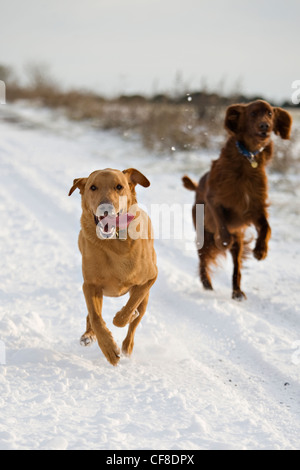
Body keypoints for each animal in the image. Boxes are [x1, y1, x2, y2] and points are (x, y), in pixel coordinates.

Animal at [183, 100, 292, 302]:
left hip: (238, 243)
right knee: (203, 259)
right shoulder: (214, 199)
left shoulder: (254, 208)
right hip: (204, 235)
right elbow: (221, 222)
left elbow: (266, 227)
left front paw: (261, 250)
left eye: (270, 113)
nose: (265, 126)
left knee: (237, 269)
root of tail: (196, 186)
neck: (248, 158)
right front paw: (224, 240)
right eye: (253, 113)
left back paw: (237, 292)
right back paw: (207, 284)